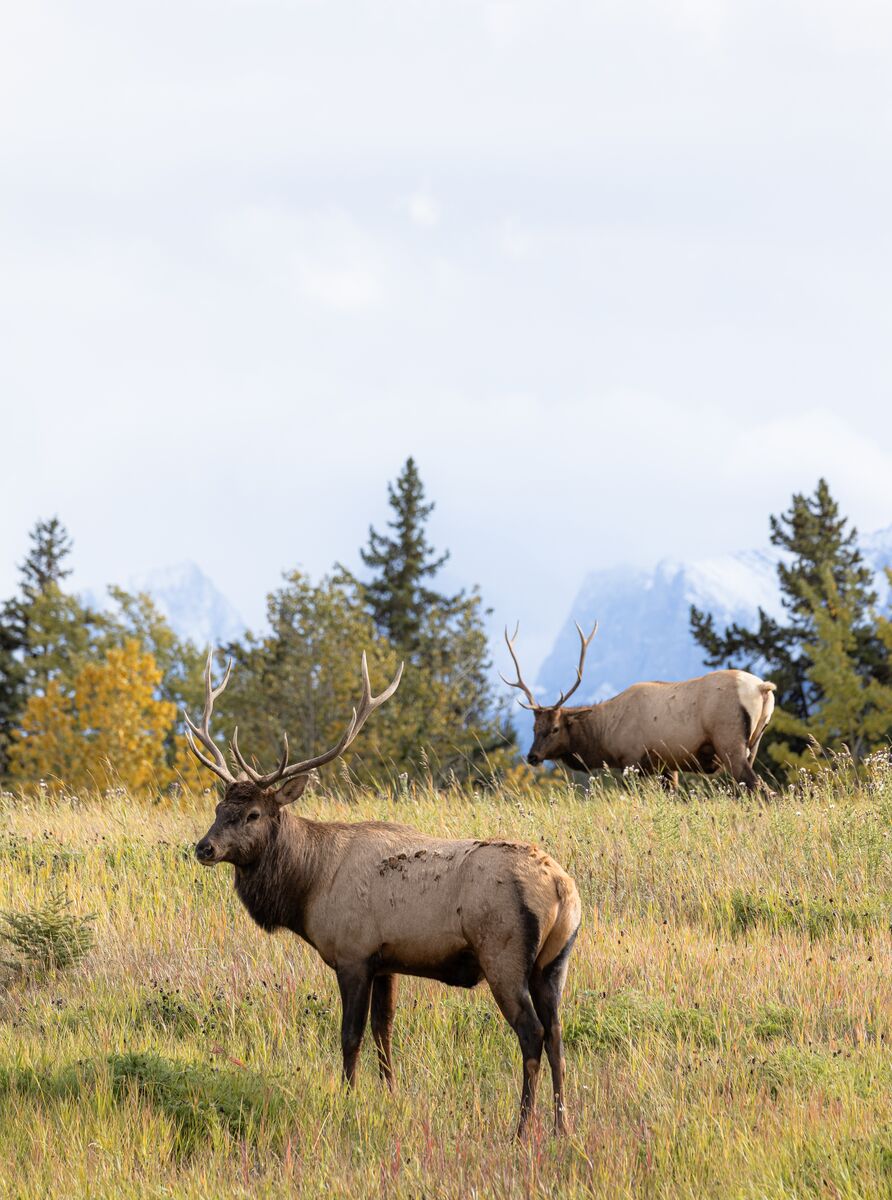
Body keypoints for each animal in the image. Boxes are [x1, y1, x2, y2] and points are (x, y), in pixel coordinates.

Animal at [185, 651, 581, 1138]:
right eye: (219, 807)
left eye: (253, 813)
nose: (204, 848)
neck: (310, 886)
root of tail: (561, 887)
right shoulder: (386, 960)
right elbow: (384, 1030)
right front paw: (390, 1096)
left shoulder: (352, 953)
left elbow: (350, 1035)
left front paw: (347, 1100)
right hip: (555, 960)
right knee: (557, 1031)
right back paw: (563, 1125)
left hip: (503, 953)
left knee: (532, 1032)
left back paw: (522, 1127)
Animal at [502, 622, 776, 791]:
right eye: (534, 728)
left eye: (555, 728)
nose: (532, 756)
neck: (605, 737)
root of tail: (763, 687)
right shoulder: (668, 765)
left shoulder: (631, 759)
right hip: (754, 745)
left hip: (729, 740)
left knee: (761, 790)